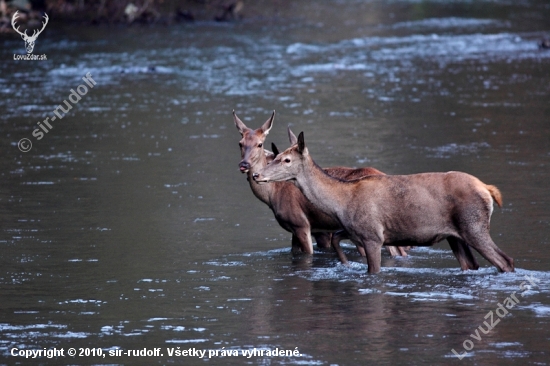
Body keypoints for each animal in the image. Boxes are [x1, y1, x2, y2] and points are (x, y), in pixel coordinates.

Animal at [256, 132, 516, 274]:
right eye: (276, 156)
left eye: (286, 159)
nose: (257, 174)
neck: (341, 201)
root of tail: (488, 190)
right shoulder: (354, 231)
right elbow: (337, 240)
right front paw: (345, 265)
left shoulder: (373, 236)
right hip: (455, 236)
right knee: (472, 265)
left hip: (474, 226)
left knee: (505, 260)